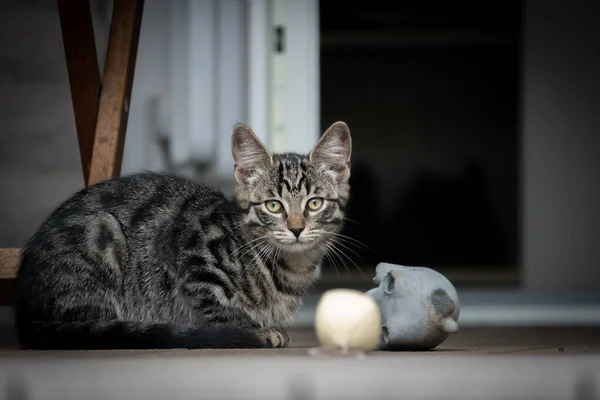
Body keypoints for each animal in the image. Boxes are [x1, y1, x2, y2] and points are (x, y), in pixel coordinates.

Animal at [12, 120, 352, 348]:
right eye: (273, 205)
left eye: (314, 203)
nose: (296, 229)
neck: (289, 269)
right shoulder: (195, 257)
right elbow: (219, 307)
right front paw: (255, 329)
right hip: (100, 232)